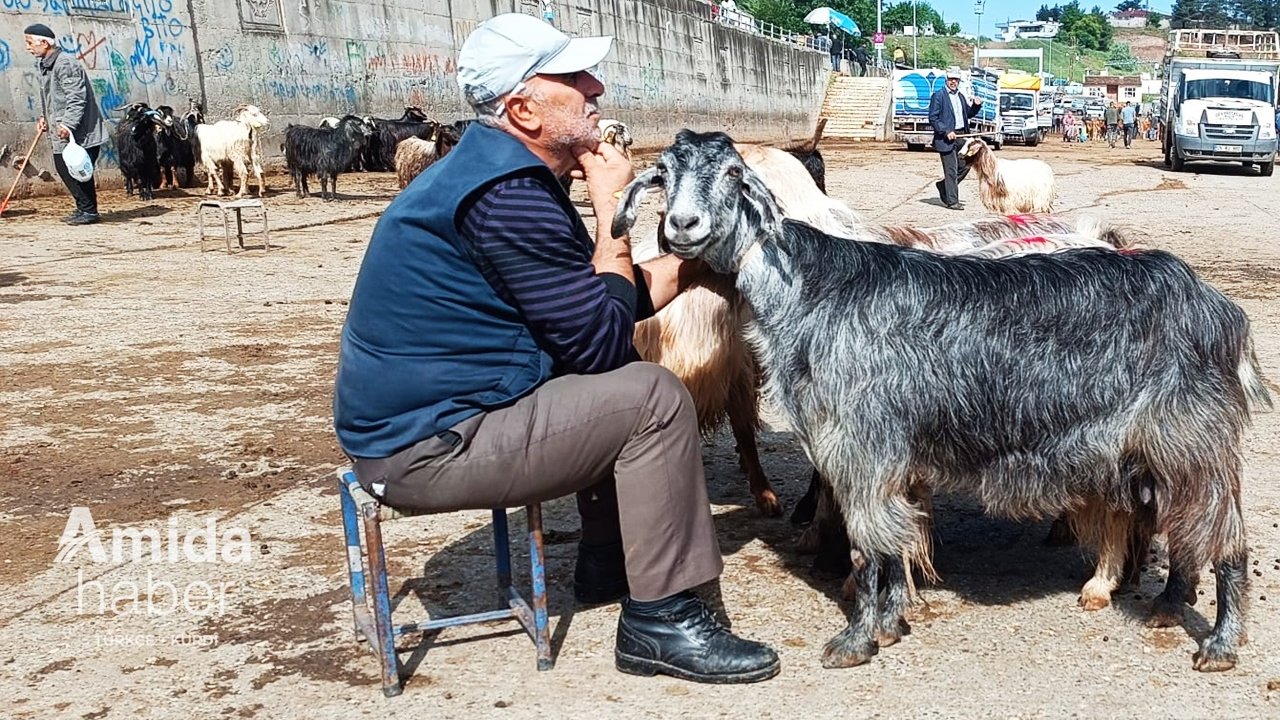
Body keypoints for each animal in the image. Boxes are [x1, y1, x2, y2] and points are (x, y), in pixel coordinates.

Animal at [616, 130, 1269, 671]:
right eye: (664, 173)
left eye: (733, 172)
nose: (682, 227)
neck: (812, 288)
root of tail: (1219, 307)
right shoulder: (878, 454)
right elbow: (888, 542)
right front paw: (889, 621)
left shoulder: (863, 445)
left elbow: (868, 550)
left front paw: (855, 640)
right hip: (1154, 444)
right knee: (1183, 524)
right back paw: (1167, 602)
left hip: (1192, 434)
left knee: (1227, 537)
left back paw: (1217, 642)